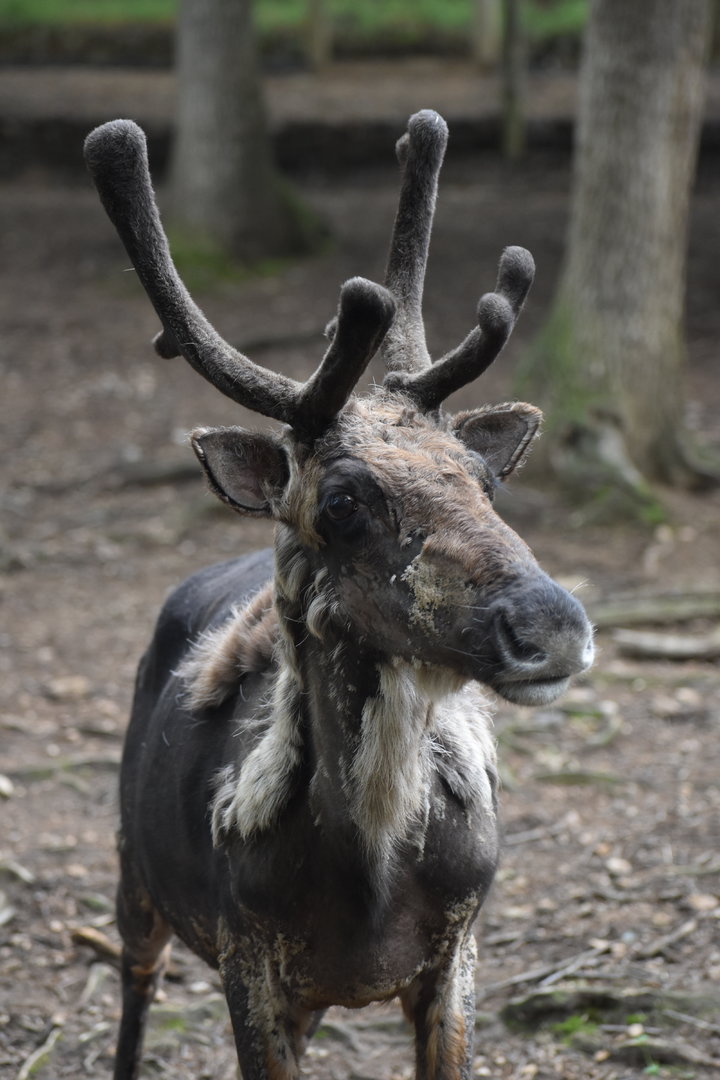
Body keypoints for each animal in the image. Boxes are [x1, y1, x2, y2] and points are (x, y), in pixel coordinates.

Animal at [83, 110, 594, 1080]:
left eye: (486, 480)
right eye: (342, 503)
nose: (553, 626)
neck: (369, 884)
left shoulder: (457, 953)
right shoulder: (248, 960)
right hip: (135, 870)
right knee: (135, 983)